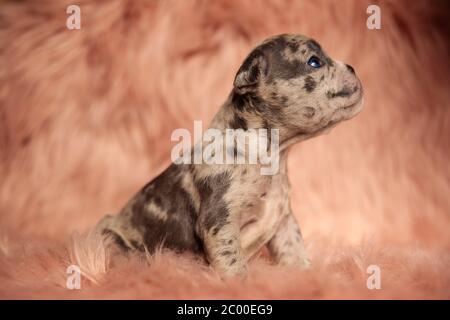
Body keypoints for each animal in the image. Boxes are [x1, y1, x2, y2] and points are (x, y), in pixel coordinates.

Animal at [96, 34, 364, 278]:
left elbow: (294, 250)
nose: (352, 66)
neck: (272, 154)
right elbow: (233, 263)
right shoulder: (219, 222)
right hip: (110, 238)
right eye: (314, 62)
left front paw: (307, 274)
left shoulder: (283, 222)